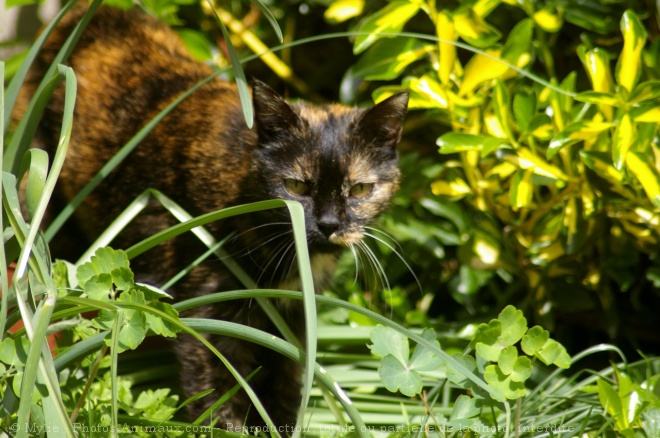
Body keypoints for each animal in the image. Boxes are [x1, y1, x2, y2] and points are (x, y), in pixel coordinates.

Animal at [15, 2, 408, 428]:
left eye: (360, 189)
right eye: (297, 187)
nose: (329, 225)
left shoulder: (294, 319)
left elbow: (286, 387)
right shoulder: (209, 312)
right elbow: (218, 398)